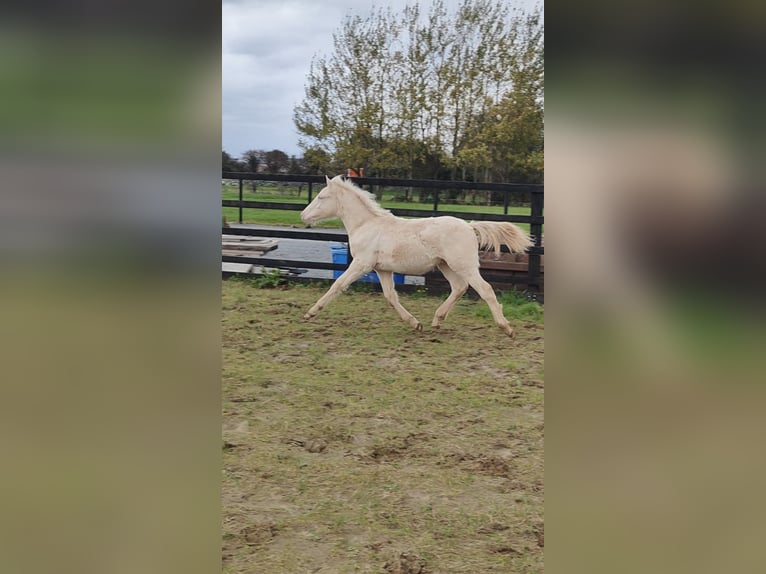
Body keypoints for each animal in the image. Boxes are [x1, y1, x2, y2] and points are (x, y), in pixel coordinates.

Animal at [300, 175, 533, 337]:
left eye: (321, 197)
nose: (303, 215)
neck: (367, 225)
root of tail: (469, 226)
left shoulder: (361, 264)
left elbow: (338, 284)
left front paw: (311, 312)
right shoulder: (382, 269)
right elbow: (390, 296)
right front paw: (415, 324)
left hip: (464, 266)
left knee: (485, 289)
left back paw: (506, 328)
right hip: (446, 265)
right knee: (459, 288)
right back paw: (437, 320)